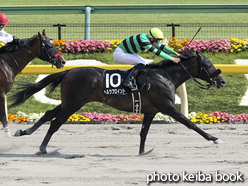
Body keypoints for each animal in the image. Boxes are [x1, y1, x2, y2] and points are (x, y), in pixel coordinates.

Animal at [11, 50, 225, 155]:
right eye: (208, 65)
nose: (221, 81)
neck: (165, 77)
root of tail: (68, 71)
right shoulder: (167, 106)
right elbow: (189, 123)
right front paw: (214, 138)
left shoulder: (151, 110)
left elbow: (144, 133)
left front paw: (142, 152)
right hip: (74, 104)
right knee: (55, 123)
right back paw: (42, 147)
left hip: (69, 102)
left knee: (49, 114)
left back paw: (24, 131)